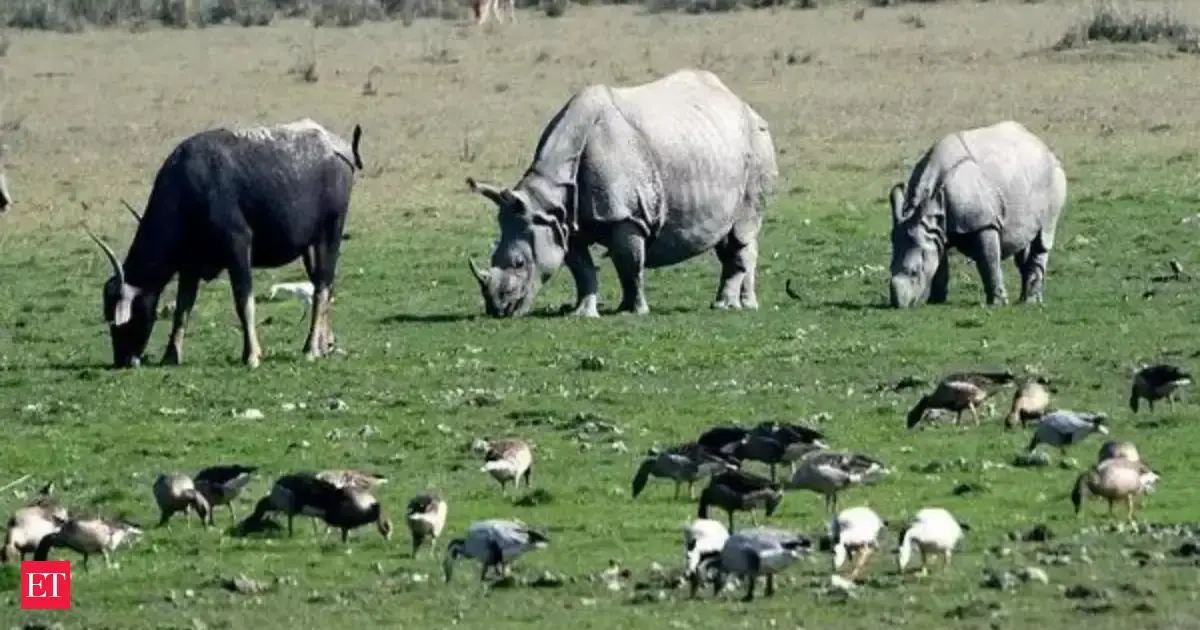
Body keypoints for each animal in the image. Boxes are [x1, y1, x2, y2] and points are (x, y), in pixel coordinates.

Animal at [465, 69, 778, 318]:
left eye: (519, 263)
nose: (498, 310)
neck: (545, 197)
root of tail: (740, 102)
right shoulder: (563, 222)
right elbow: (582, 270)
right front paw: (584, 313)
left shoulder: (625, 215)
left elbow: (629, 266)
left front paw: (633, 311)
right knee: (733, 237)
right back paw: (746, 305)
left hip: (758, 142)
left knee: (741, 229)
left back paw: (725, 306)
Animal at [887, 121, 1067, 309]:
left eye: (914, 272)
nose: (898, 304)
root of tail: (1043, 145)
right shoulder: (935, 230)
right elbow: (939, 264)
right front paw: (936, 301)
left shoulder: (983, 222)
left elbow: (989, 261)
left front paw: (997, 304)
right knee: (1024, 239)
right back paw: (1025, 300)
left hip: (1053, 177)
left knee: (1043, 236)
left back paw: (1031, 302)